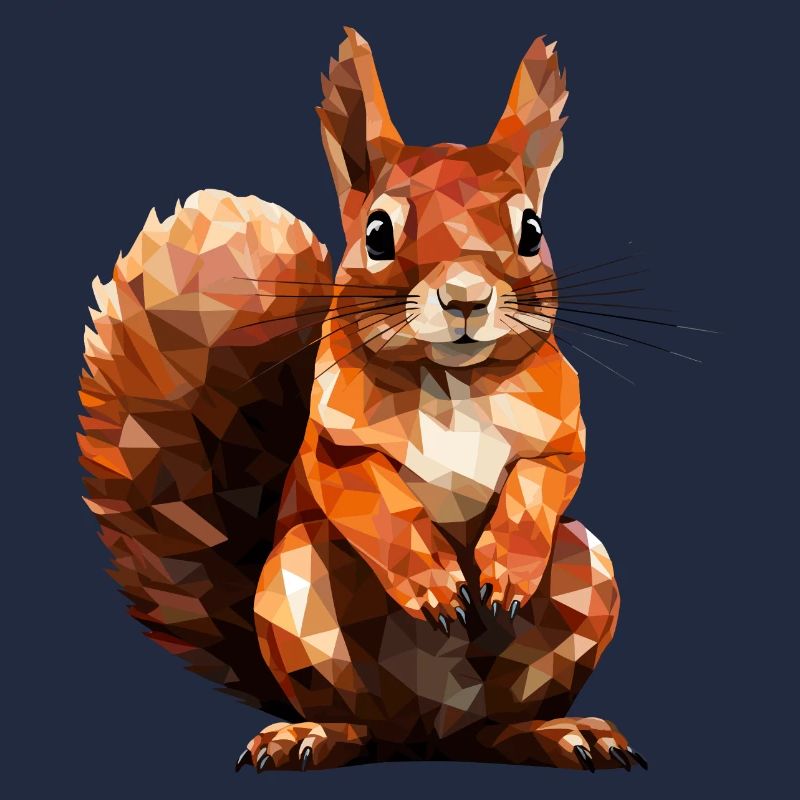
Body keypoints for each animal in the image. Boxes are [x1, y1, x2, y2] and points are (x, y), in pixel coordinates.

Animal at [78, 28, 647, 773]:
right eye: (376, 234)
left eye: (532, 230)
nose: (465, 298)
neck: (452, 383)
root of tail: (432, 735)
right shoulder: (332, 441)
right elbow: (371, 495)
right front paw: (433, 581)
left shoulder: (562, 428)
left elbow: (545, 479)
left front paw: (504, 568)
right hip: (296, 593)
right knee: (360, 725)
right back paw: (310, 735)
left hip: (588, 576)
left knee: (498, 728)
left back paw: (562, 732)